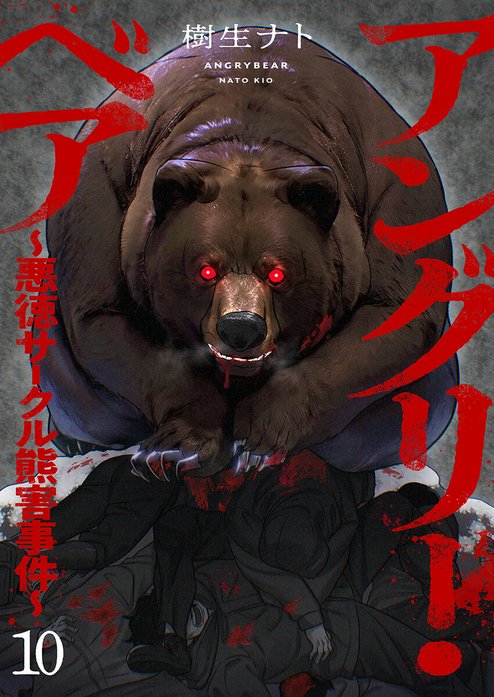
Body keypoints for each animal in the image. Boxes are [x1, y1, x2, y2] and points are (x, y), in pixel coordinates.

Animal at [40, 28, 457, 476]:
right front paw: (178, 447)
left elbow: (394, 314)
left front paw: (258, 440)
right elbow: (101, 316)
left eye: (277, 273)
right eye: (206, 270)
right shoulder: (97, 196)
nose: (241, 327)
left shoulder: (398, 192)